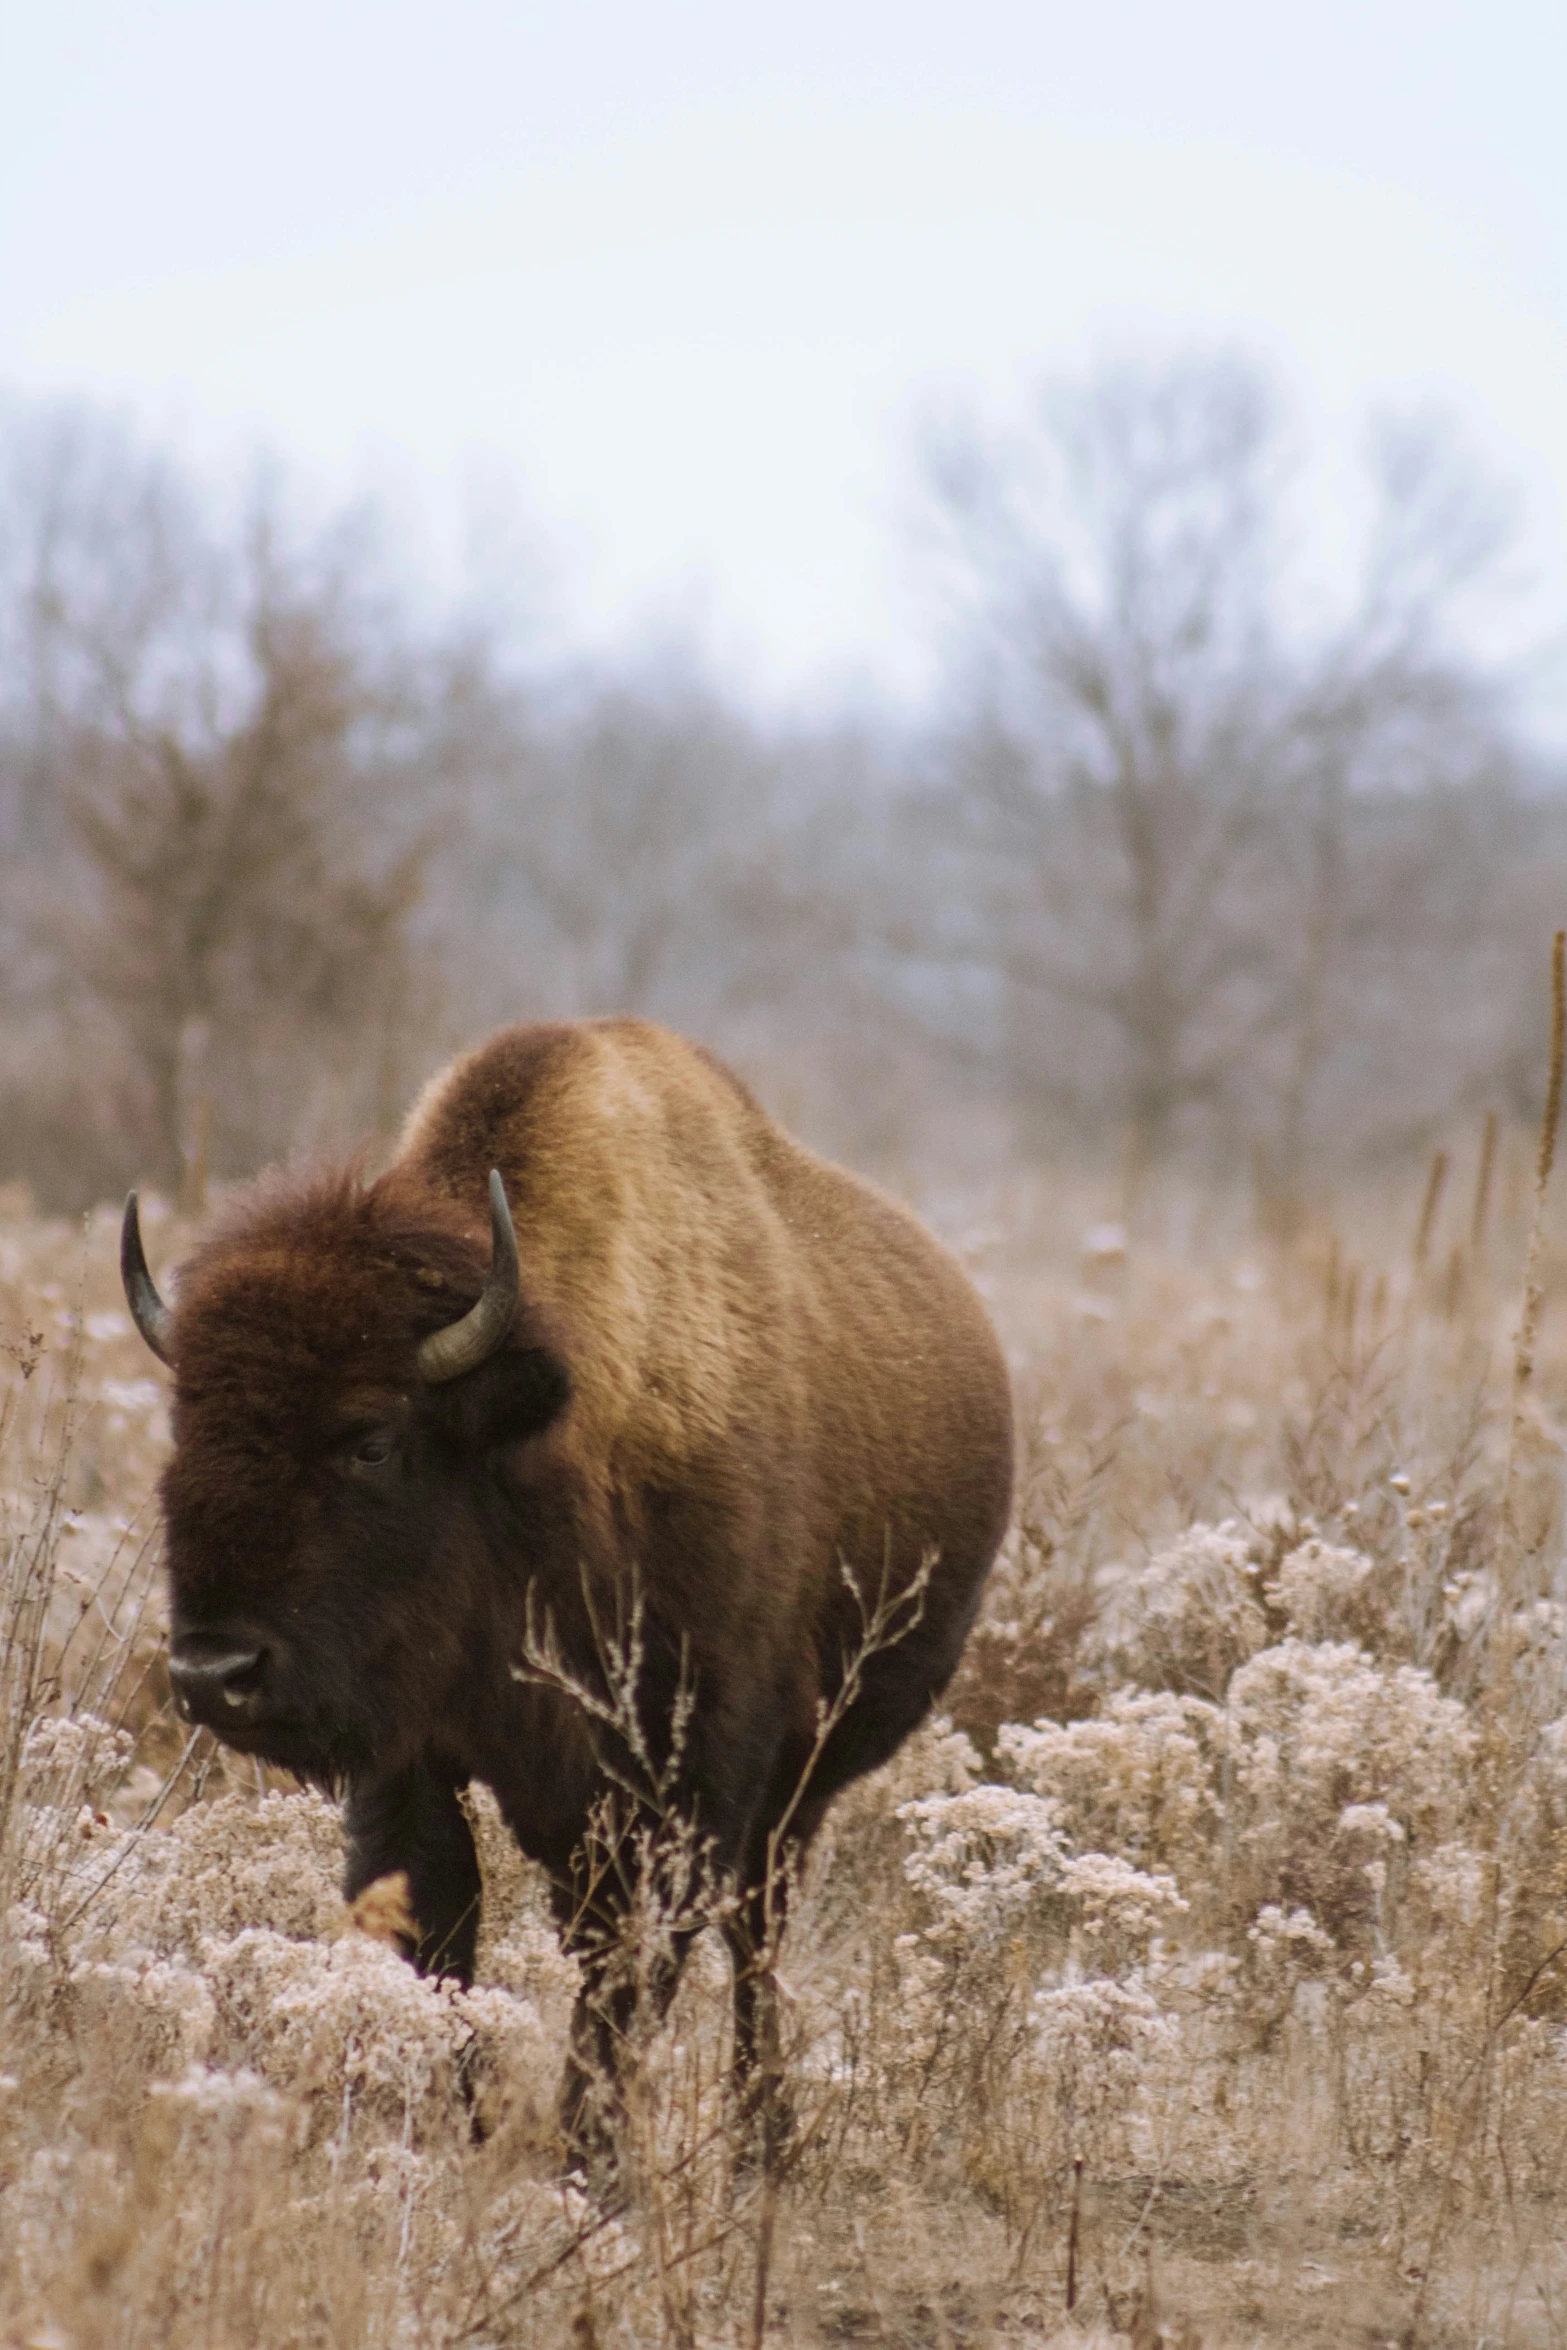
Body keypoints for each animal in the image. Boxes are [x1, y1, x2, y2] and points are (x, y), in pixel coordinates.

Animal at [122, 1019, 1019, 2152]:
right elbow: (439, 1919)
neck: (538, 1441)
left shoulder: (687, 1781)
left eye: (372, 1440)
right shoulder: (414, 1757)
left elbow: (624, 1970)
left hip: (800, 1784)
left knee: (755, 1936)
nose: (213, 1671)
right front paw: (471, 2123)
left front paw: (590, 2157)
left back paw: (762, 2141)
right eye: (185, 1428)